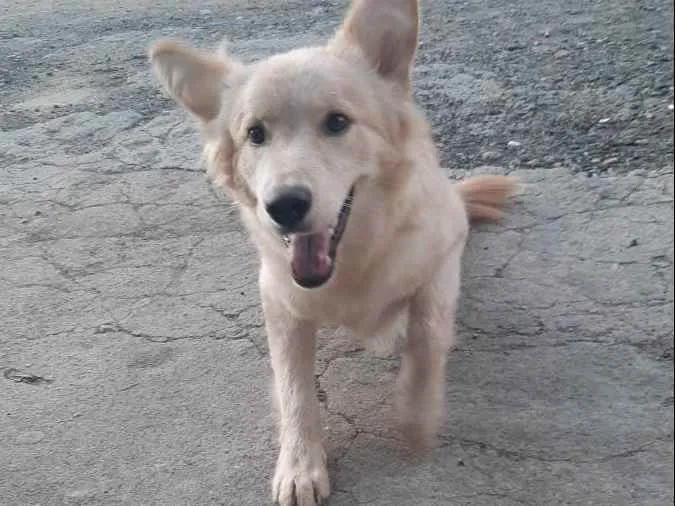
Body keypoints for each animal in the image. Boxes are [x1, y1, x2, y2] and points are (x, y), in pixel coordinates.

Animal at [149, 1, 516, 504]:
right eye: (255, 134)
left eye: (338, 122)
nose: (283, 206)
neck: (353, 265)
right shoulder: (279, 298)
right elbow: (294, 388)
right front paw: (300, 467)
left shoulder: (443, 252)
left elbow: (427, 335)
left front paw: (416, 418)